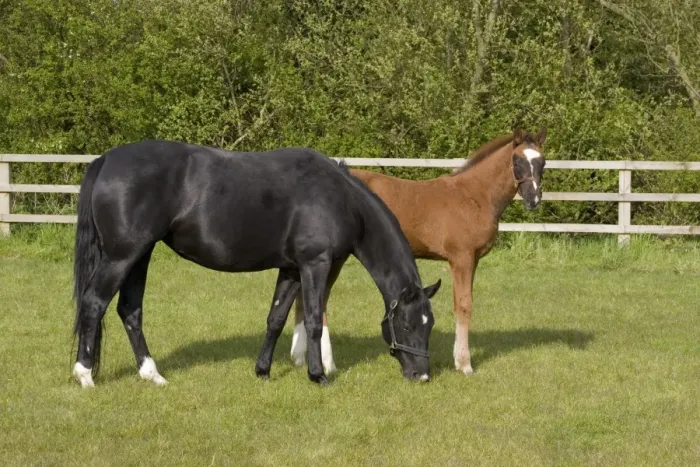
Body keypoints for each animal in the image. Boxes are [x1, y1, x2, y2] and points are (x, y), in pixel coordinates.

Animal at [71, 140, 442, 388]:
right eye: (407, 324)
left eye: (430, 325)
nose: (421, 375)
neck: (340, 198)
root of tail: (106, 160)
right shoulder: (315, 264)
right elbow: (312, 321)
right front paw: (317, 375)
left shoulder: (291, 268)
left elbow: (275, 319)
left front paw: (262, 371)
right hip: (122, 256)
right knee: (94, 303)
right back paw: (85, 375)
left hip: (140, 255)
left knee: (130, 311)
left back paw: (152, 374)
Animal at [290, 127, 546, 375]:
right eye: (517, 161)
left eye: (542, 162)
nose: (533, 199)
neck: (474, 197)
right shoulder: (461, 258)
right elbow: (463, 306)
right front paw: (464, 364)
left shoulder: (472, 260)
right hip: (335, 255)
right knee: (320, 300)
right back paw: (328, 364)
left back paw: (299, 358)